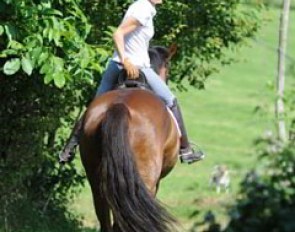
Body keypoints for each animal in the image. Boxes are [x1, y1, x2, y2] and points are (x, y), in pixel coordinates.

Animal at [80, 45, 179, 232]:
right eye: (168, 66)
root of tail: (120, 106)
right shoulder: (155, 183)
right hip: (143, 180)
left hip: (97, 180)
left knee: (105, 218)